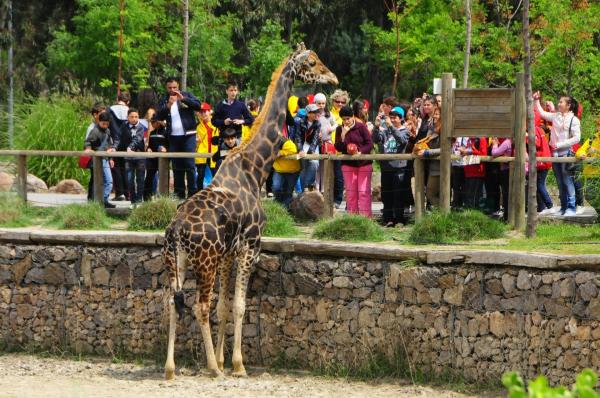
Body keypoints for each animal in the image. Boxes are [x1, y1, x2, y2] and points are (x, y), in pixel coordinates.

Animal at [162, 43, 338, 380]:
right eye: (311, 62)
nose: (333, 78)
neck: (255, 169)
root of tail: (177, 230)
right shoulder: (250, 245)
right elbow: (240, 305)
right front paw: (237, 365)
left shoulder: (229, 253)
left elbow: (225, 306)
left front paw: (225, 360)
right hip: (204, 261)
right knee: (198, 306)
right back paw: (212, 369)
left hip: (176, 261)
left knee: (172, 303)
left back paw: (170, 368)